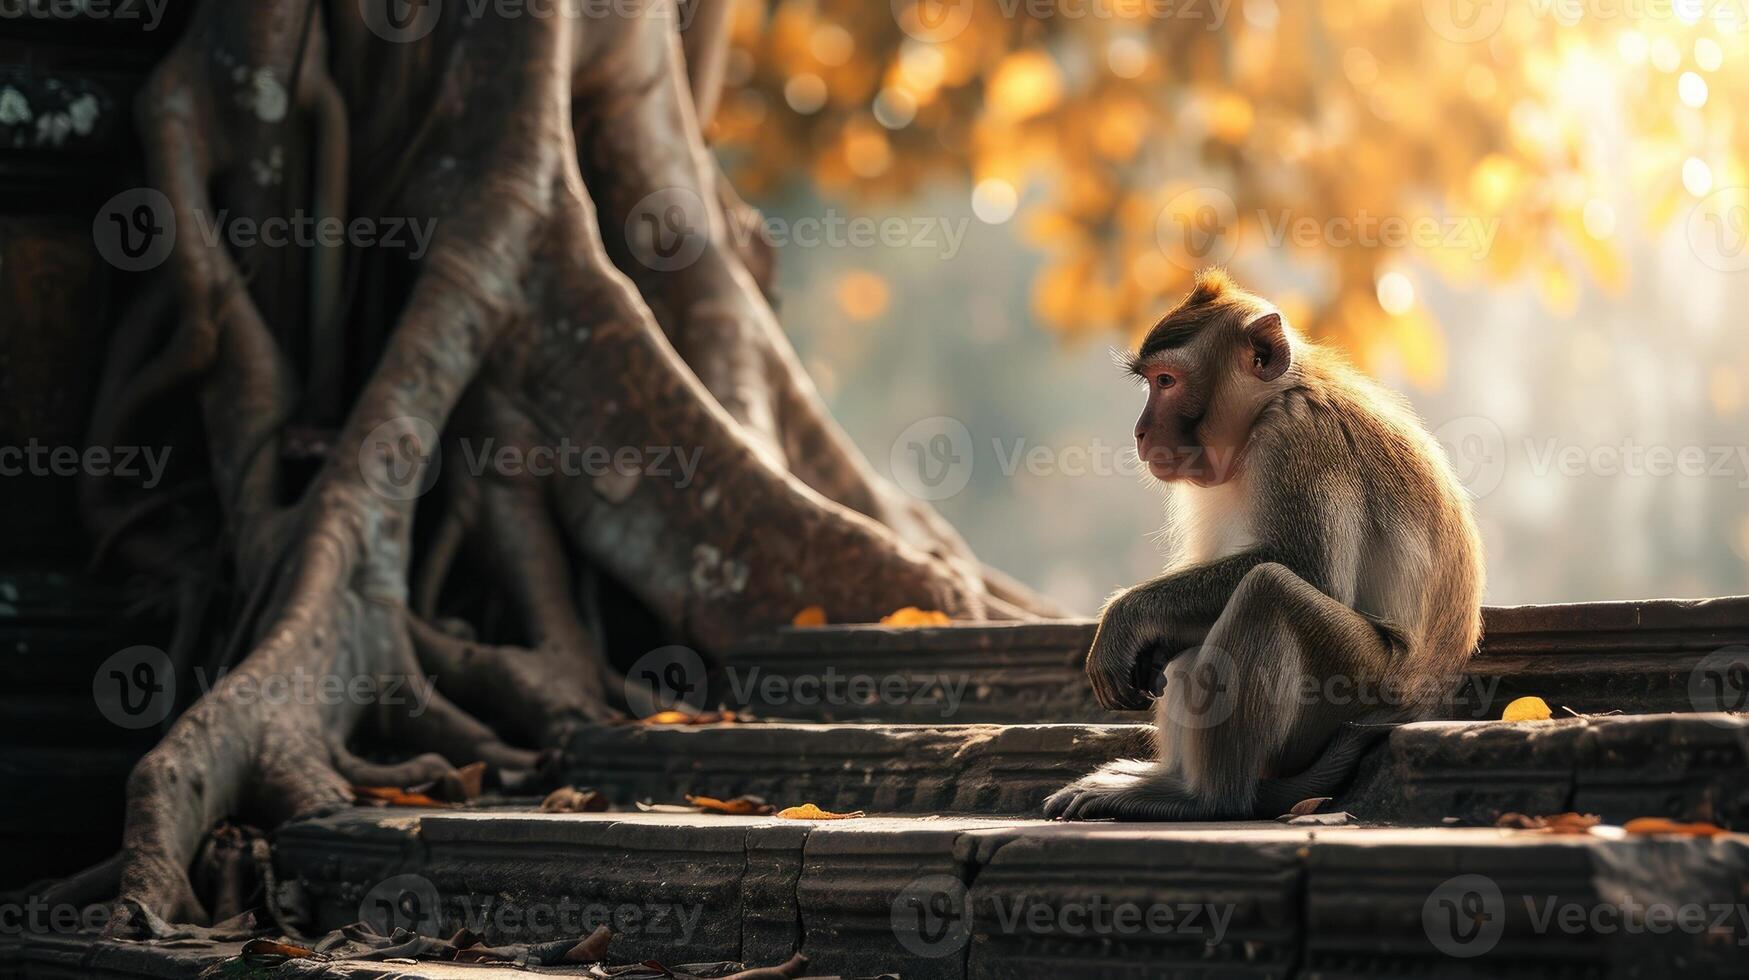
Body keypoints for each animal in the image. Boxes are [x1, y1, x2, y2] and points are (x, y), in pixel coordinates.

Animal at [1042, 266, 1483, 819]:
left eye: (1167, 381)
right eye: (1152, 381)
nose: (1140, 432)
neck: (1266, 407)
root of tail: (1430, 691)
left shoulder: (1299, 435)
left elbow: (1307, 570)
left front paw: (1125, 615)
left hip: (1355, 685)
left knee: (1267, 591)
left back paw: (1203, 798)